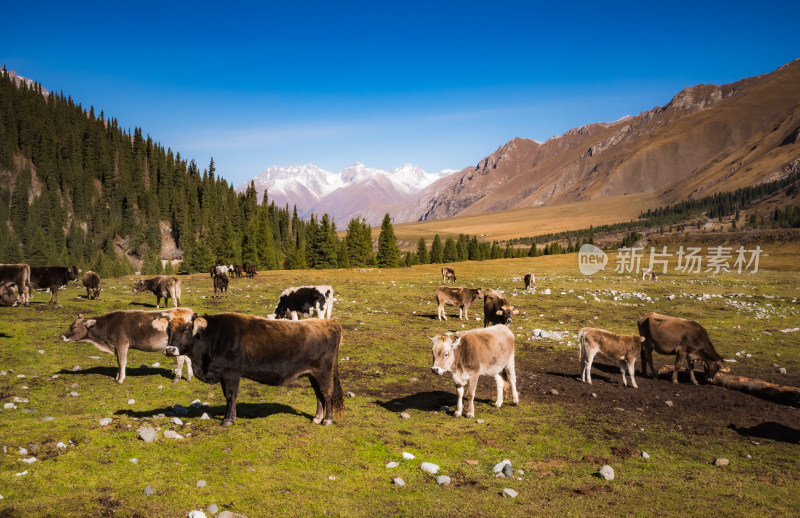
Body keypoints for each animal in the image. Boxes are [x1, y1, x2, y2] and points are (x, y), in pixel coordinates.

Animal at [61, 308, 195, 386]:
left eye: (73, 327)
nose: (62, 336)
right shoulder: (117, 346)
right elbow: (118, 362)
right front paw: (116, 377)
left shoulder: (122, 344)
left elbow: (122, 361)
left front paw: (120, 379)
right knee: (188, 358)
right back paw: (189, 377)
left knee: (181, 359)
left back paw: (177, 379)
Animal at [164, 312, 346, 426]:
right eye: (168, 329)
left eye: (187, 329)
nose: (170, 350)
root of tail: (328, 322)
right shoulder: (223, 374)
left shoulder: (231, 373)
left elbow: (230, 395)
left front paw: (228, 419)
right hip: (312, 374)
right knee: (319, 395)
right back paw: (317, 418)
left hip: (323, 371)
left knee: (327, 393)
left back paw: (328, 420)